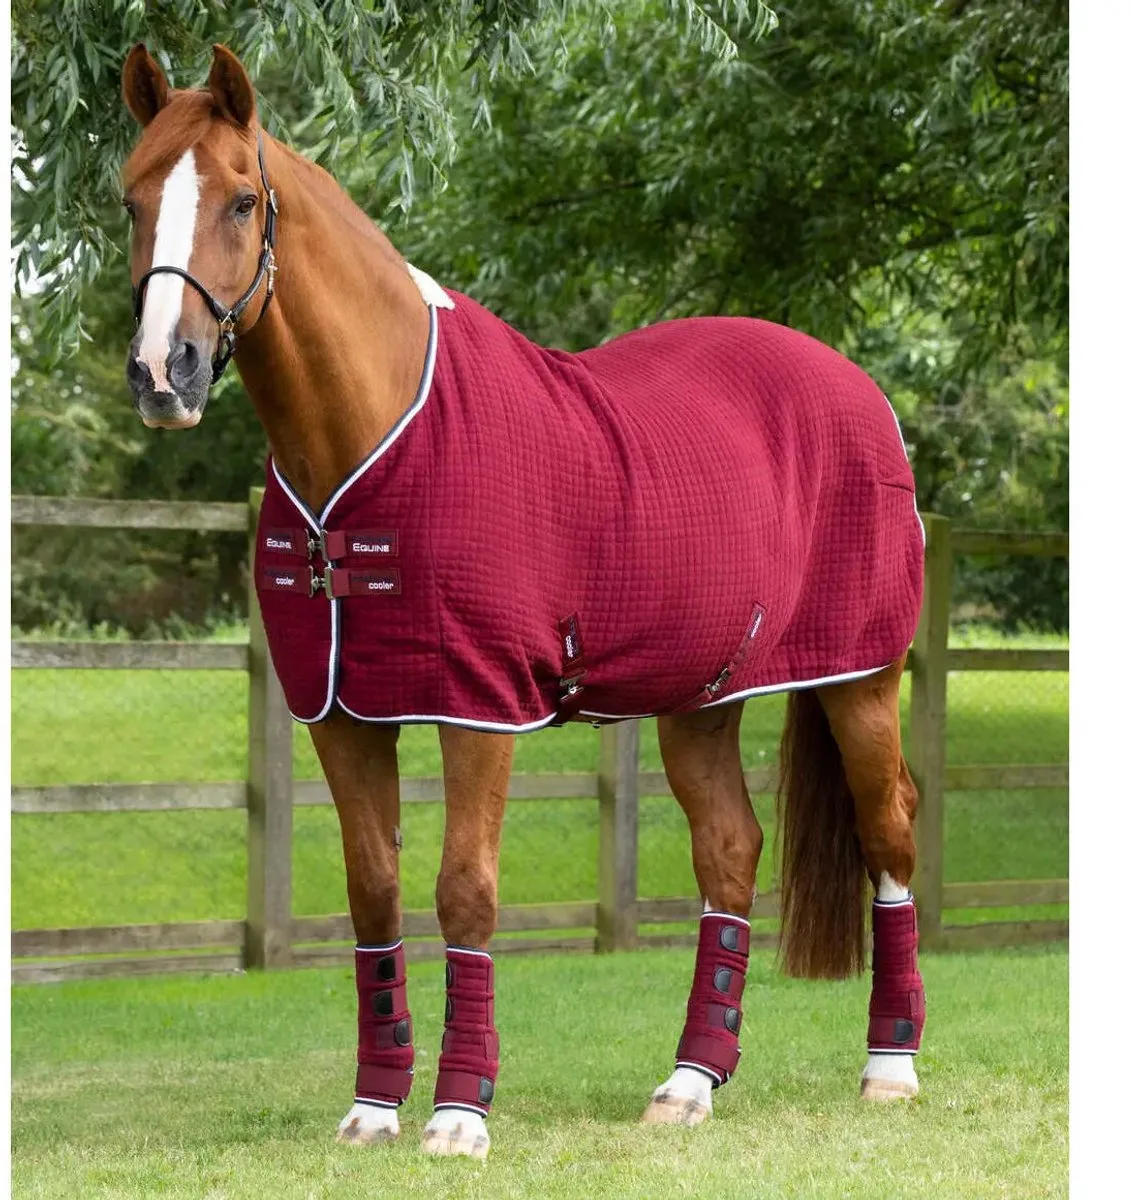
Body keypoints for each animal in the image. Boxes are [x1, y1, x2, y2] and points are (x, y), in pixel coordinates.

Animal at [120, 44, 927, 1160]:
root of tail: (861, 392)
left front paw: (461, 1113)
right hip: (701, 698)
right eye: (131, 199)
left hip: (861, 679)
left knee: (890, 831)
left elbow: (465, 892)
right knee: (729, 852)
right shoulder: (339, 716)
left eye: (242, 199)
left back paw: (890, 1069)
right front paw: (375, 1107)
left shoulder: (478, 705)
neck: (375, 434)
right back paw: (689, 1084)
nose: (166, 373)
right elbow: (374, 893)